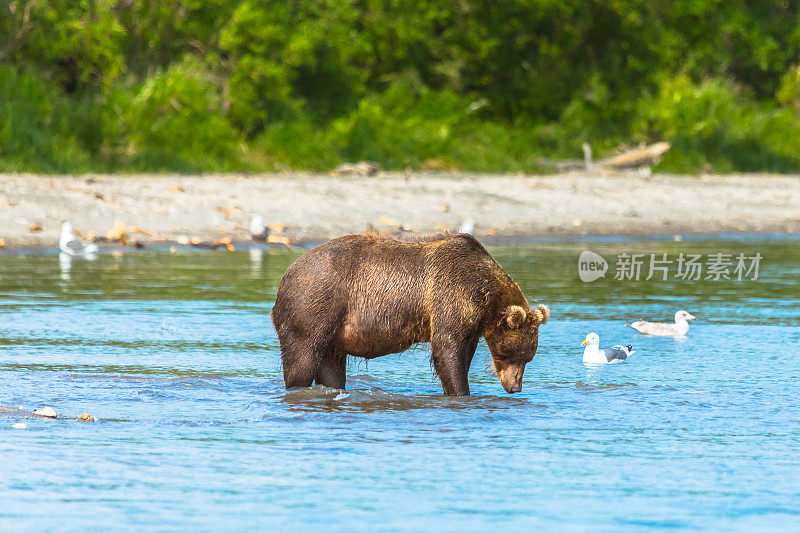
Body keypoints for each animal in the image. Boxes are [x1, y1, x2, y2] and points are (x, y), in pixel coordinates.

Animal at [272, 233, 548, 394]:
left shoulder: (471, 324)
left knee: (331, 367)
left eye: (528, 357)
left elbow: (462, 353)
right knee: (302, 358)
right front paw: (460, 392)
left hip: (334, 328)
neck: (485, 296)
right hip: (315, 302)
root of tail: (286, 275)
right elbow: (447, 351)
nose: (515, 387)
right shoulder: (450, 296)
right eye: (511, 353)